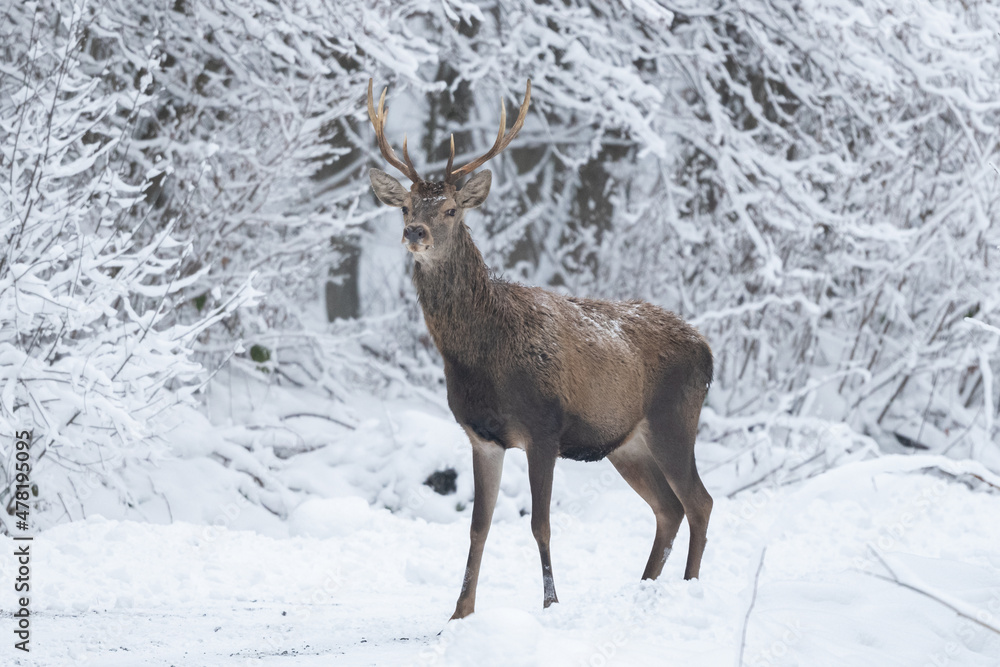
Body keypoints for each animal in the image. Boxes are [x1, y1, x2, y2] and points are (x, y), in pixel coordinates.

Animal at [372, 78, 716, 620]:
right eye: (405, 206)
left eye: (450, 209)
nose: (414, 233)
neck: (481, 356)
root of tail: (708, 351)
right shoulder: (482, 436)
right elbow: (478, 526)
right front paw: (460, 612)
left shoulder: (544, 427)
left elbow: (540, 523)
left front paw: (552, 603)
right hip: (627, 444)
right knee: (669, 507)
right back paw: (645, 586)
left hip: (674, 419)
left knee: (699, 502)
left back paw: (687, 587)